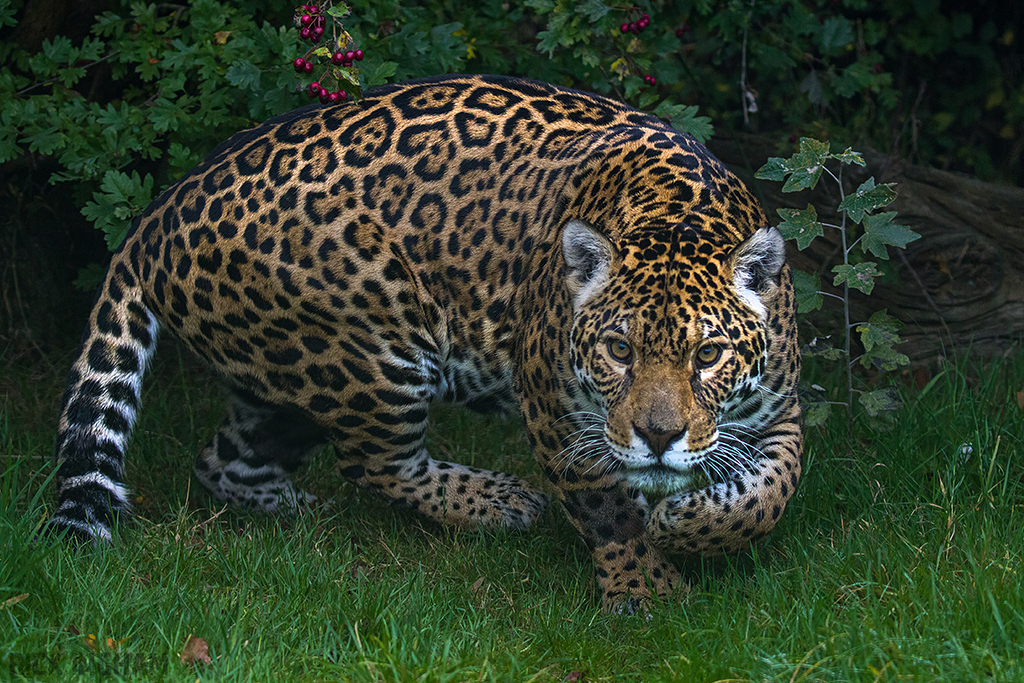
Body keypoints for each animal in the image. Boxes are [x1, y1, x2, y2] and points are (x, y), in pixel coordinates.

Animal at [48, 74, 802, 612]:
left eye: (708, 355)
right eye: (619, 351)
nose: (657, 436)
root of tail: (160, 211)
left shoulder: (783, 408)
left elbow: (770, 494)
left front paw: (690, 518)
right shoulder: (558, 416)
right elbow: (609, 510)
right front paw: (643, 584)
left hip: (285, 371)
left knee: (225, 461)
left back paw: (299, 516)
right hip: (374, 346)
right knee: (376, 462)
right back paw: (497, 502)